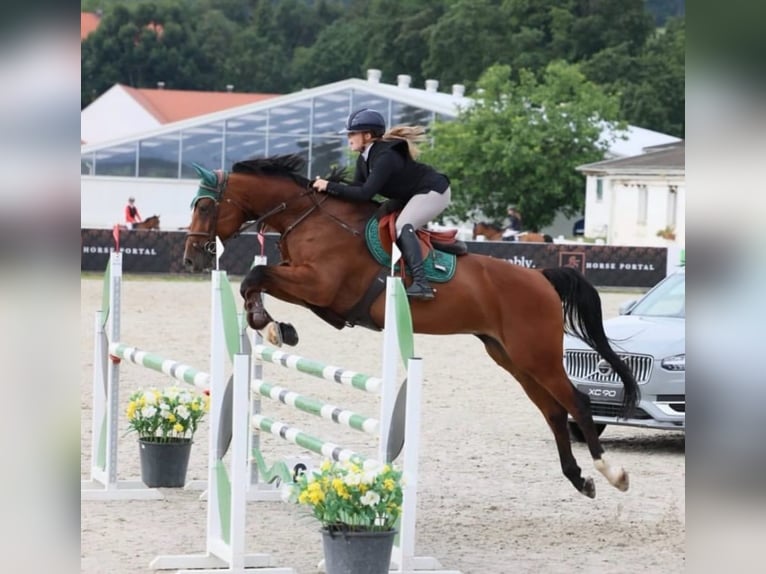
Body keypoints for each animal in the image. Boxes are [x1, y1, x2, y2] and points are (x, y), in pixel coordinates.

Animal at [183, 154, 639, 499]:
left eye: (204, 207)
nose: (190, 258)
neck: (311, 219)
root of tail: (541, 277)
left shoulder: (320, 284)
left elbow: (255, 277)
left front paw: (269, 324)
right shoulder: (318, 295)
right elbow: (256, 282)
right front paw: (274, 326)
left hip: (537, 355)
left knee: (577, 403)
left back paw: (612, 474)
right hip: (511, 358)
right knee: (553, 412)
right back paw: (579, 479)